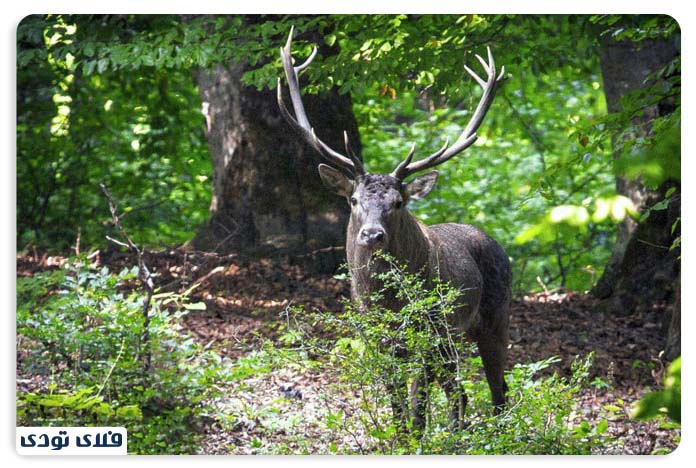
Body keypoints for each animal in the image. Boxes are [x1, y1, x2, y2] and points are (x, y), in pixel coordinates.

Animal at [276, 28, 512, 432]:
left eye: (398, 202)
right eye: (354, 200)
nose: (372, 235)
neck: (387, 298)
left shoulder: (429, 327)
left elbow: (417, 396)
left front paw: (416, 436)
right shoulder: (376, 332)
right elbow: (395, 394)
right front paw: (401, 435)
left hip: (494, 317)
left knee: (497, 389)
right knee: (461, 391)